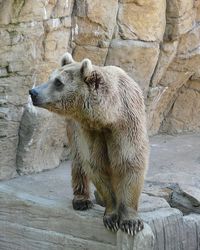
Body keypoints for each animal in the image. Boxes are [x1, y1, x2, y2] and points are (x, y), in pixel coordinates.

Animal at [29, 52, 148, 236]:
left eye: (58, 82)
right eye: (50, 77)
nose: (33, 92)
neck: (108, 117)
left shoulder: (127, 124)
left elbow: (129, 162)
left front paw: (131, 222)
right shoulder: (89, 130)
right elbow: (95, 164)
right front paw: (111, 216)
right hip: (72, 127)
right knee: (78, 160)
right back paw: (81, 199)